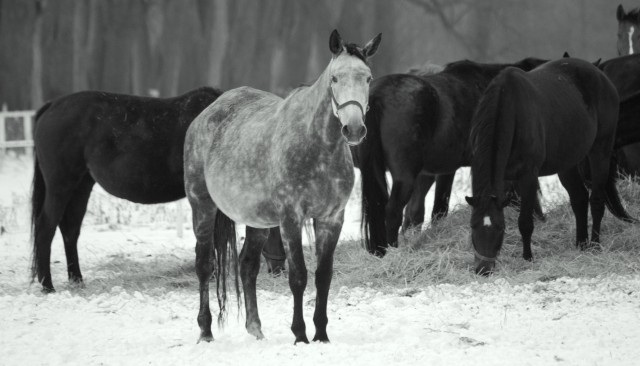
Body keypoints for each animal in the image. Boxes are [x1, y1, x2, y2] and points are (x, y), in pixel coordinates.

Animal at [30, 86, 288, 292]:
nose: (279, 268)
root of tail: (52, 106)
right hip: (61, 185)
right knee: (45, 228)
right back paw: (47, 285)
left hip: (82, 185)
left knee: (70, 230)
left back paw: (76, 279)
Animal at [181, 30, 380, 344]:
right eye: (335, 78)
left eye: (368, 78)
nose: (354, 130)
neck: (318, 147)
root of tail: (205, 115)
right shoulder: (290, 219)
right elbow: (298, 276)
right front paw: (300, 335)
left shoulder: (331, 219)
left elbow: (323, 276)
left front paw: (321, 334)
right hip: (202, 207)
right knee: (204, 265)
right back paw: (205, 331)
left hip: (258, 222)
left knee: (248, 266)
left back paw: (255, 329)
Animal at [464, 57, 636, 274]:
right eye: (472, 226)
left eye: (501, 228)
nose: (483, 269)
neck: (511, 110)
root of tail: (601, 74)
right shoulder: (507, 178)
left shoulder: (528, 176)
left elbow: (525, 221)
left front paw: (527, 258)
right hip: (568, 161)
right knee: (579, 199)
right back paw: (581, 244)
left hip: (600, 150)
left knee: (596, 200)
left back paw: (595, 245)